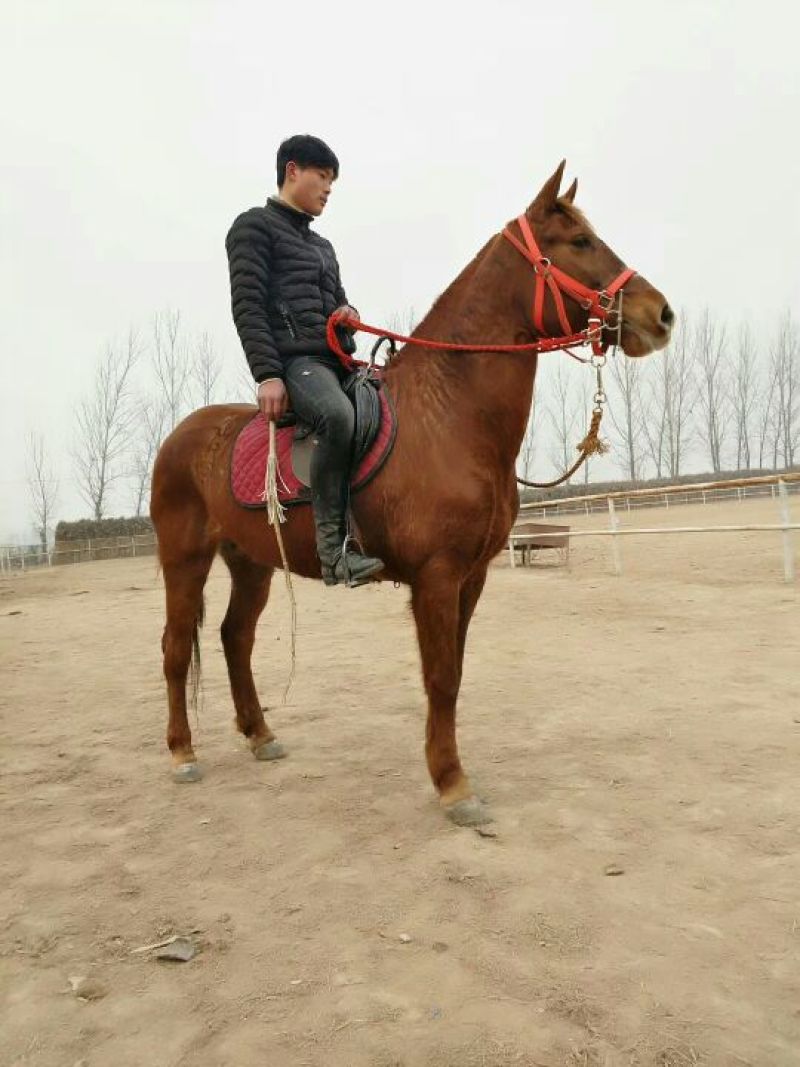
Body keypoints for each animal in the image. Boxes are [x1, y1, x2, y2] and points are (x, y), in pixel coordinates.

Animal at [150, 161, 673, 826]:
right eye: (579, 242)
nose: (661, 314)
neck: (450, 414)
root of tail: (181, 436)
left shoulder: (472, 576)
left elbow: (452, 673)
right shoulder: (439, 576)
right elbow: (442, 677)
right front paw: (453, 785)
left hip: (252, 563)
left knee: (234, 638)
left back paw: (261, 734)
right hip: (185, 560)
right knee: (174, 649)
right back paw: (182, 753)